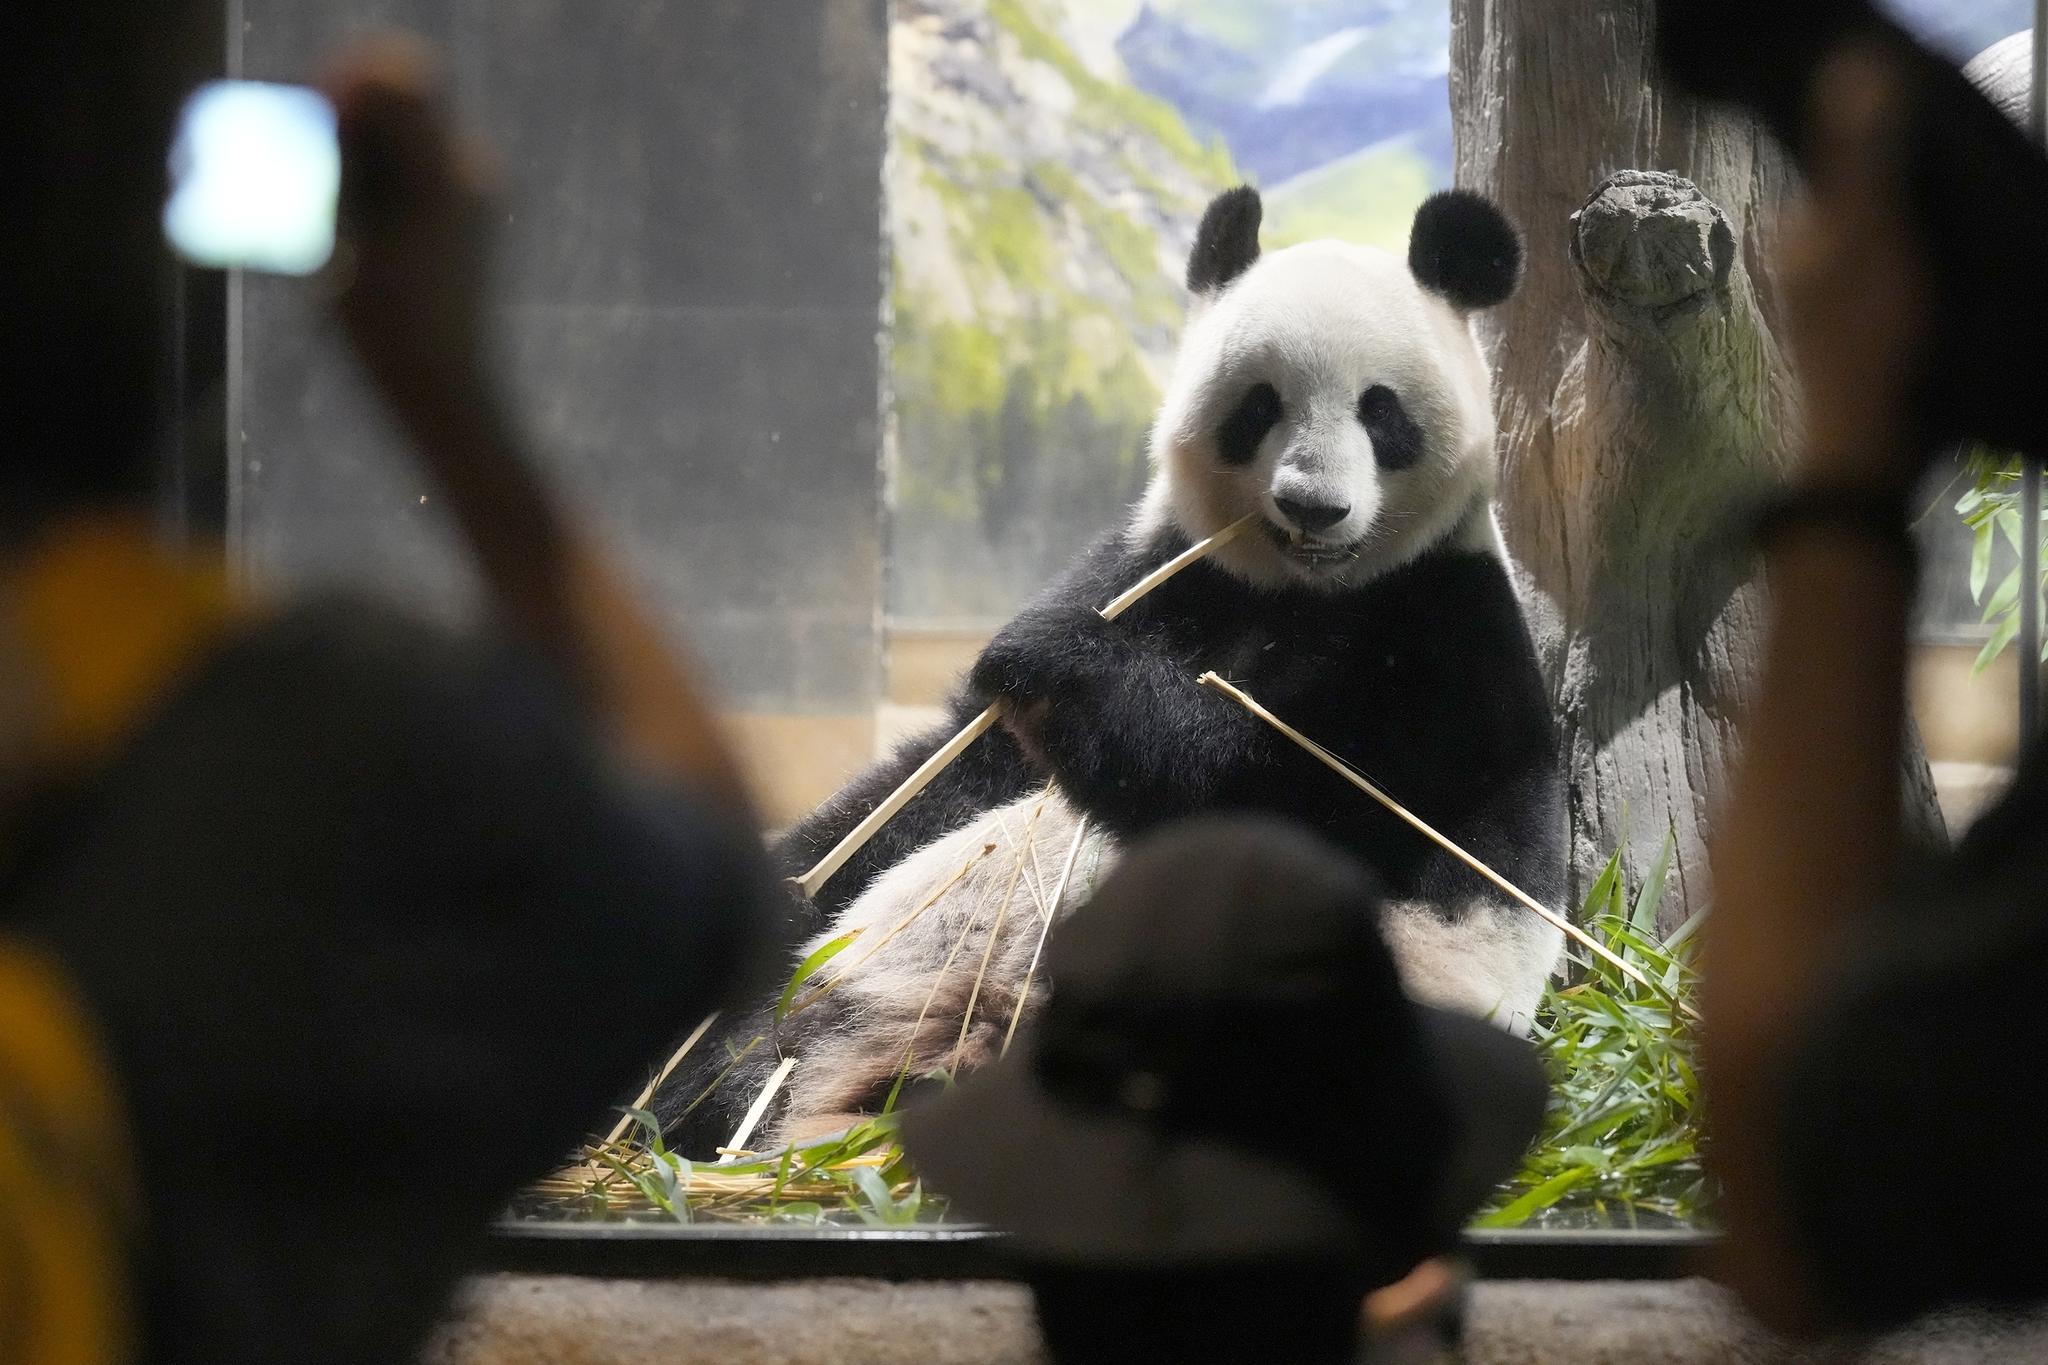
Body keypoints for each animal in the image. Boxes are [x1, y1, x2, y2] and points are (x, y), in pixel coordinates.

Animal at [655, 187, 1564, 1162]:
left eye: (1381, 412)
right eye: (1261, 405)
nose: (1312, 505)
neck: (1300, 591)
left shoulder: (1442, 642)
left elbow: (1296, 800)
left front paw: (1060, 664)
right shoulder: (1157, 569)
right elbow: (941, 777)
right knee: (770, 1022)